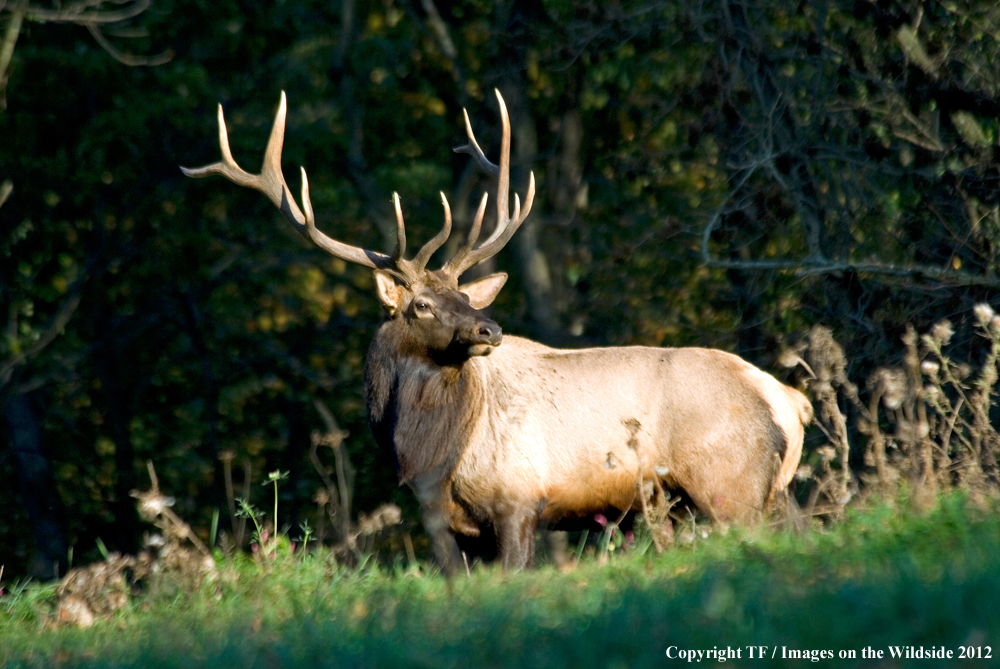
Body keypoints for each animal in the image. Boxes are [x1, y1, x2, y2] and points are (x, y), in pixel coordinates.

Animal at [184, 88, 816, 568]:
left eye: (464, 294)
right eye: (423, 305)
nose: (490, 329)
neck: (428, 456)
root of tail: (787, 400)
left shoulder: (518, 499)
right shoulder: (445, 524)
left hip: (730, 483)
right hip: (760, 492)